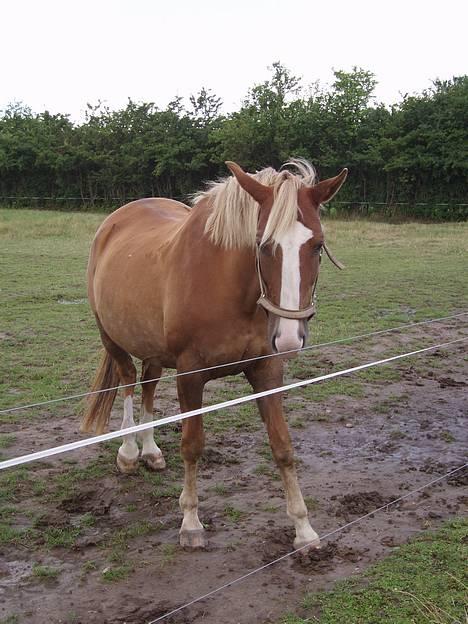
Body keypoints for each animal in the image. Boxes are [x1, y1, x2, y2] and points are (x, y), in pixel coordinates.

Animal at [82, 158, 348, 548]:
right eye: (262, 244)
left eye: (317, 245)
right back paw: (129, 452)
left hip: (154, 350)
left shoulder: (266, 371)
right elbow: (192, 445)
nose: (288, 338)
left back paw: (150, 451)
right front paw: (191, 522)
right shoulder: (190, 375)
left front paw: (303, 529)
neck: (231, 289)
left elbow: (282, 445)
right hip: (112, 339)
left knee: (148, 386)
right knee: (129, 383)